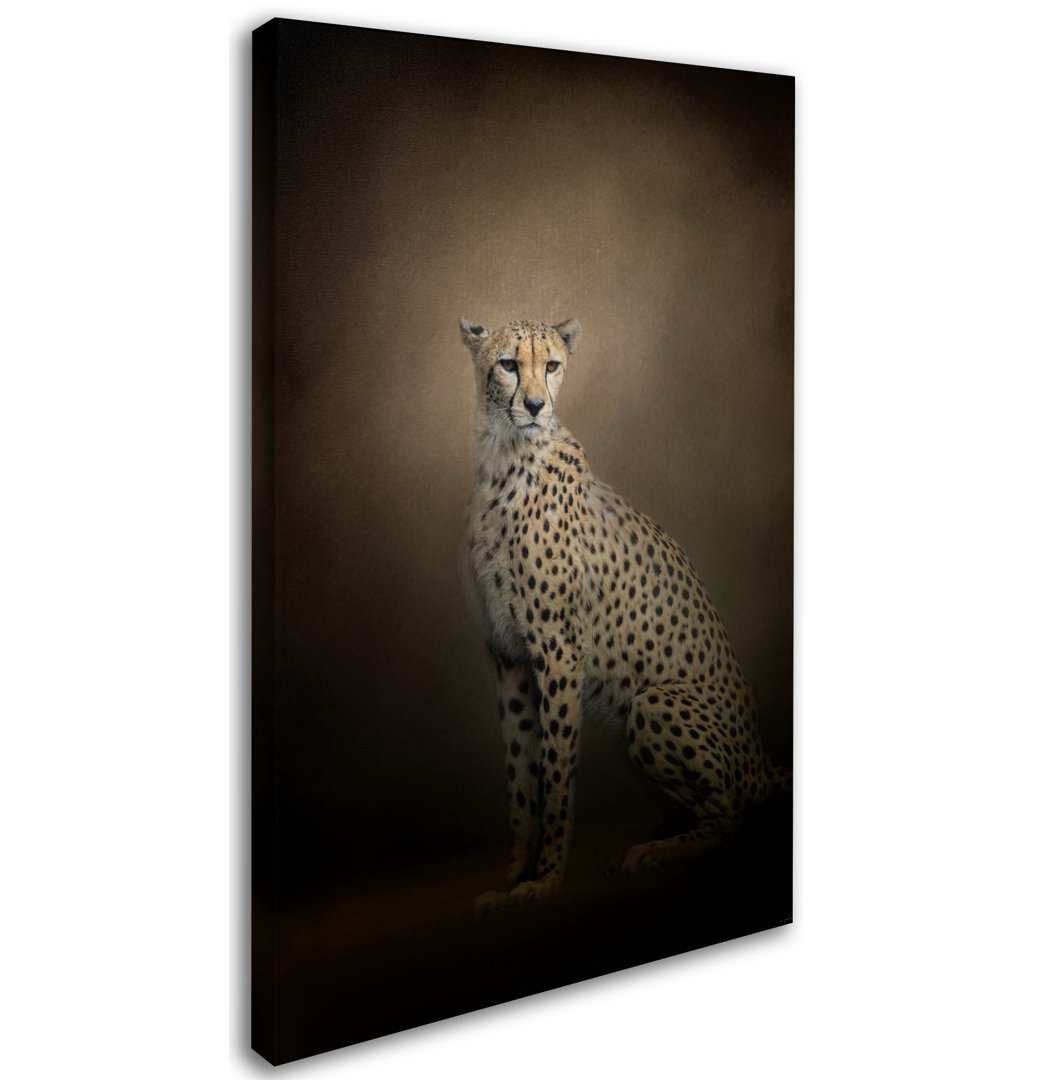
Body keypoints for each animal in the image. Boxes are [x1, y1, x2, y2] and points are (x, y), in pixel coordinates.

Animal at [460, 316, 791, 915]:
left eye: (552, 364)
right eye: (508, 364)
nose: (536, 405)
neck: (503, 455)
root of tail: (758, 760)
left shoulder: (558, 654)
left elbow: (555, 775)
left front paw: (543, 882)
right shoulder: (508, 657)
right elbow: (520, 777)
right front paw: (511, 879)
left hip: (651, 703)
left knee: (733, 819)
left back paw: (651, 853)